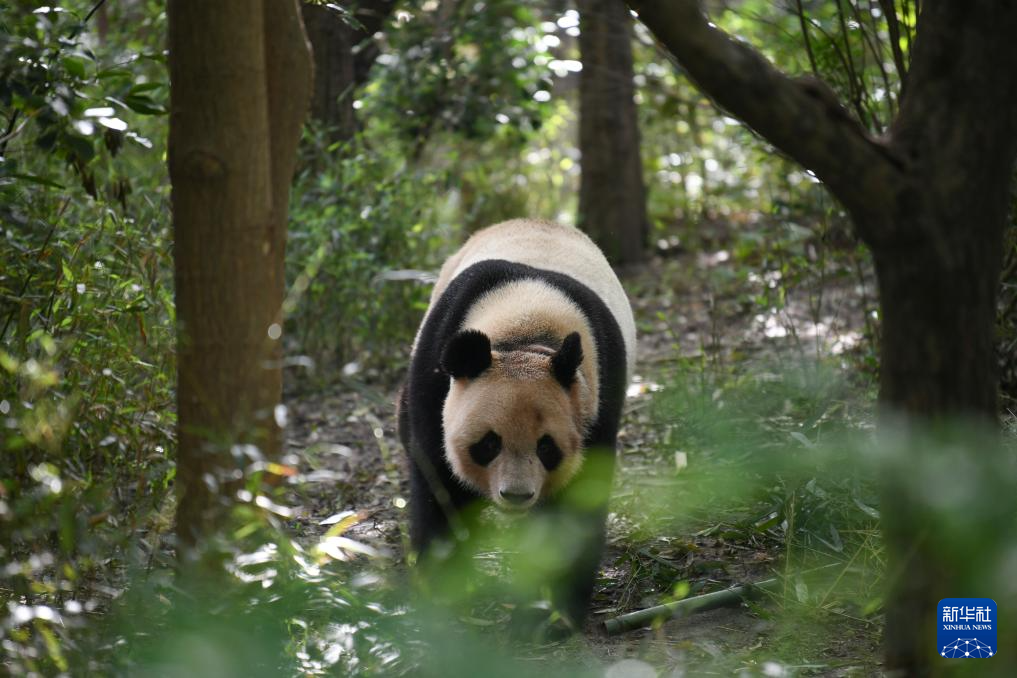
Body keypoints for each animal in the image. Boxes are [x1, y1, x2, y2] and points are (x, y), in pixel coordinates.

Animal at [398, 218, 630, 630]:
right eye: (489, 443)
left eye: (547, 446)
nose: (517, 495)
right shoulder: (435, 366)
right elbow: (438, 484)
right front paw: (443, 593)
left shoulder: (596, 399)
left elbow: (576, 507)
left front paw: (549, 617)